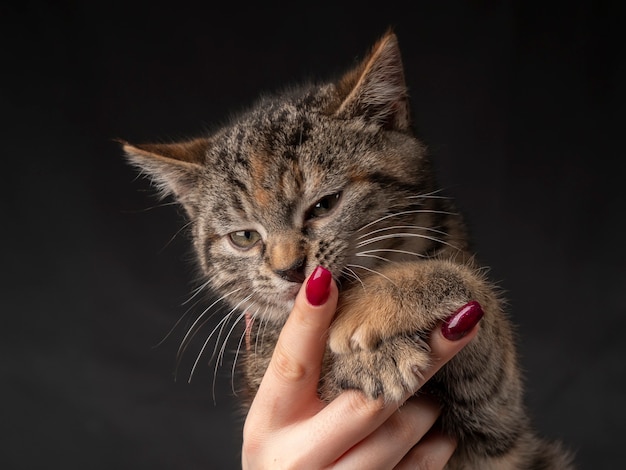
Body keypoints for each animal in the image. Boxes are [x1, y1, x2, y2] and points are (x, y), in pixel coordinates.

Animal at [123, 31, 572, 468]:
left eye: (324, 204)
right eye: (245, 237)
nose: (289, 269)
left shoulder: (497, 423)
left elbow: (477, 293)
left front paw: (374, 306)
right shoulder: (260, 367)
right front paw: (374, 360)